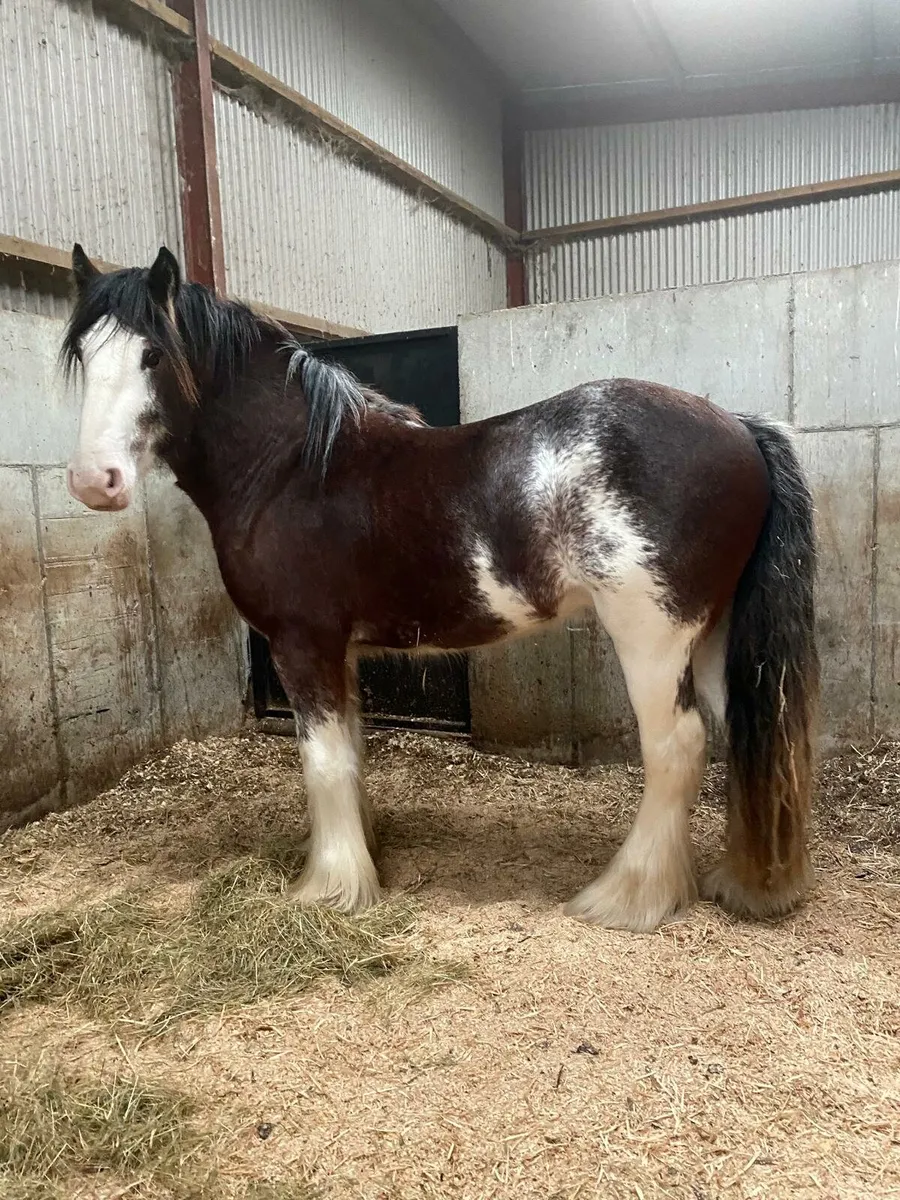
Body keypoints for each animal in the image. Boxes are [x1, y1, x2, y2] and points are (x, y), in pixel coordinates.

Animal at [61, 244, 819, 934]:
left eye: (153, 356)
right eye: (83, 358)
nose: (94, 481)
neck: (293, 468)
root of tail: (740, 428)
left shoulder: (303, 644)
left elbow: (322, 763)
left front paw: (329, 889)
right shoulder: (339, 651)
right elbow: (351, 755)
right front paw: (360, 858)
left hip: (651, 638)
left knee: (677, 748)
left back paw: (628, 897)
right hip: (715, 637)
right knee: (739, 734)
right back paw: (735, 880)